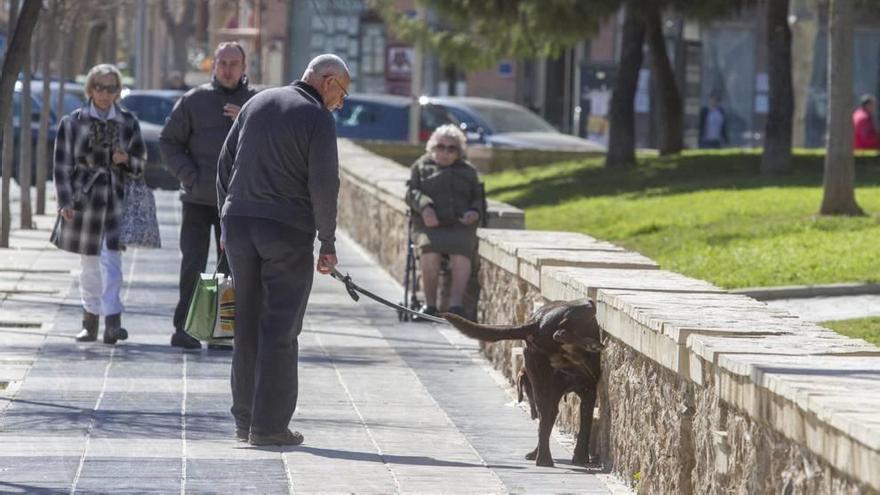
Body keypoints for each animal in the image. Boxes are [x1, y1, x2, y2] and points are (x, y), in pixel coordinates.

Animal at [444, 298, 600, 468]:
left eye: (526, 390)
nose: (532, 413)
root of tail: (536, 322)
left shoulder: (586, 392)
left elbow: (567, 424)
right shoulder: (586, 390)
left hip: (542, 382)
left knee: (546, 416)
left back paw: (543, 458)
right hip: (585, 305)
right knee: (561, 331)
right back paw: (590, 344)